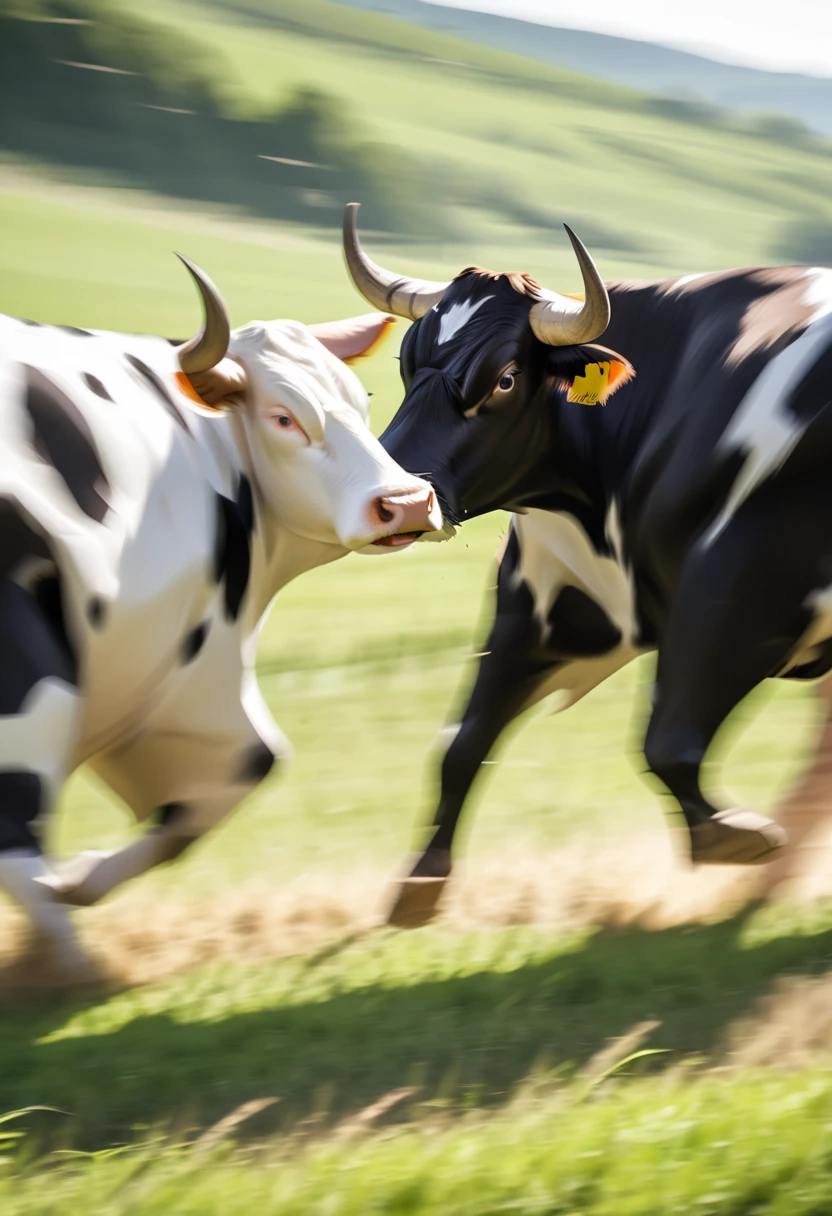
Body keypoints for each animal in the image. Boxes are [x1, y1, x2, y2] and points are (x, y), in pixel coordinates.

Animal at [0, 261, 442, 982]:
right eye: (284, 417)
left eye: (362, 400)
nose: (405, 503)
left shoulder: (188, 693)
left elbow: (228, 781)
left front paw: (82, 879)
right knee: (16, 827)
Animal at [340, 201, 832, 919]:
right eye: (406, 364)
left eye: (505, 379)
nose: (395, 500)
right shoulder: (544, 599)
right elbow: (460, 742)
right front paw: (423, 881)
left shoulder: (746, 584)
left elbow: (668, 741)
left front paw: (733, 836)